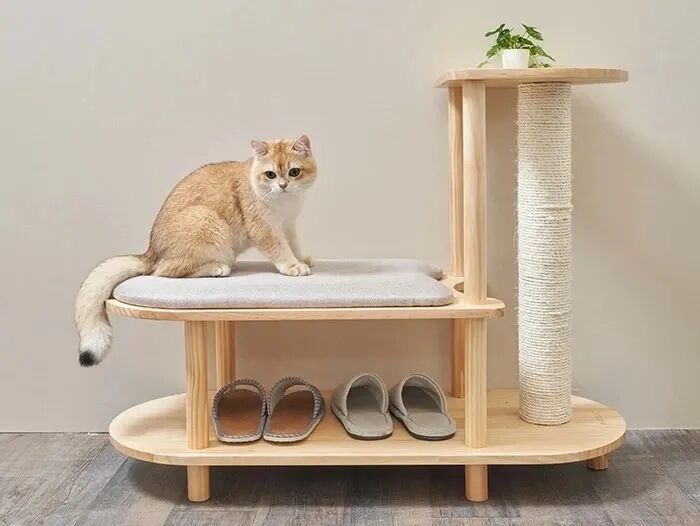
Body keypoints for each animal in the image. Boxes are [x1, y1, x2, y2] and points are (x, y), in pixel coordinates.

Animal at [75, 135, 317, 367]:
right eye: (270, 174)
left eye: (294, 172)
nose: (283, 185)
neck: (284, 202)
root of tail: (150, 253)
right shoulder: (264, 228)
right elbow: (279, 249)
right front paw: (293, 266)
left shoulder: (288, 224)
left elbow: (293, 244)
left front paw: (302, 259)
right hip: (205, 220)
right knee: (165, 271)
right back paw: (217, 268)